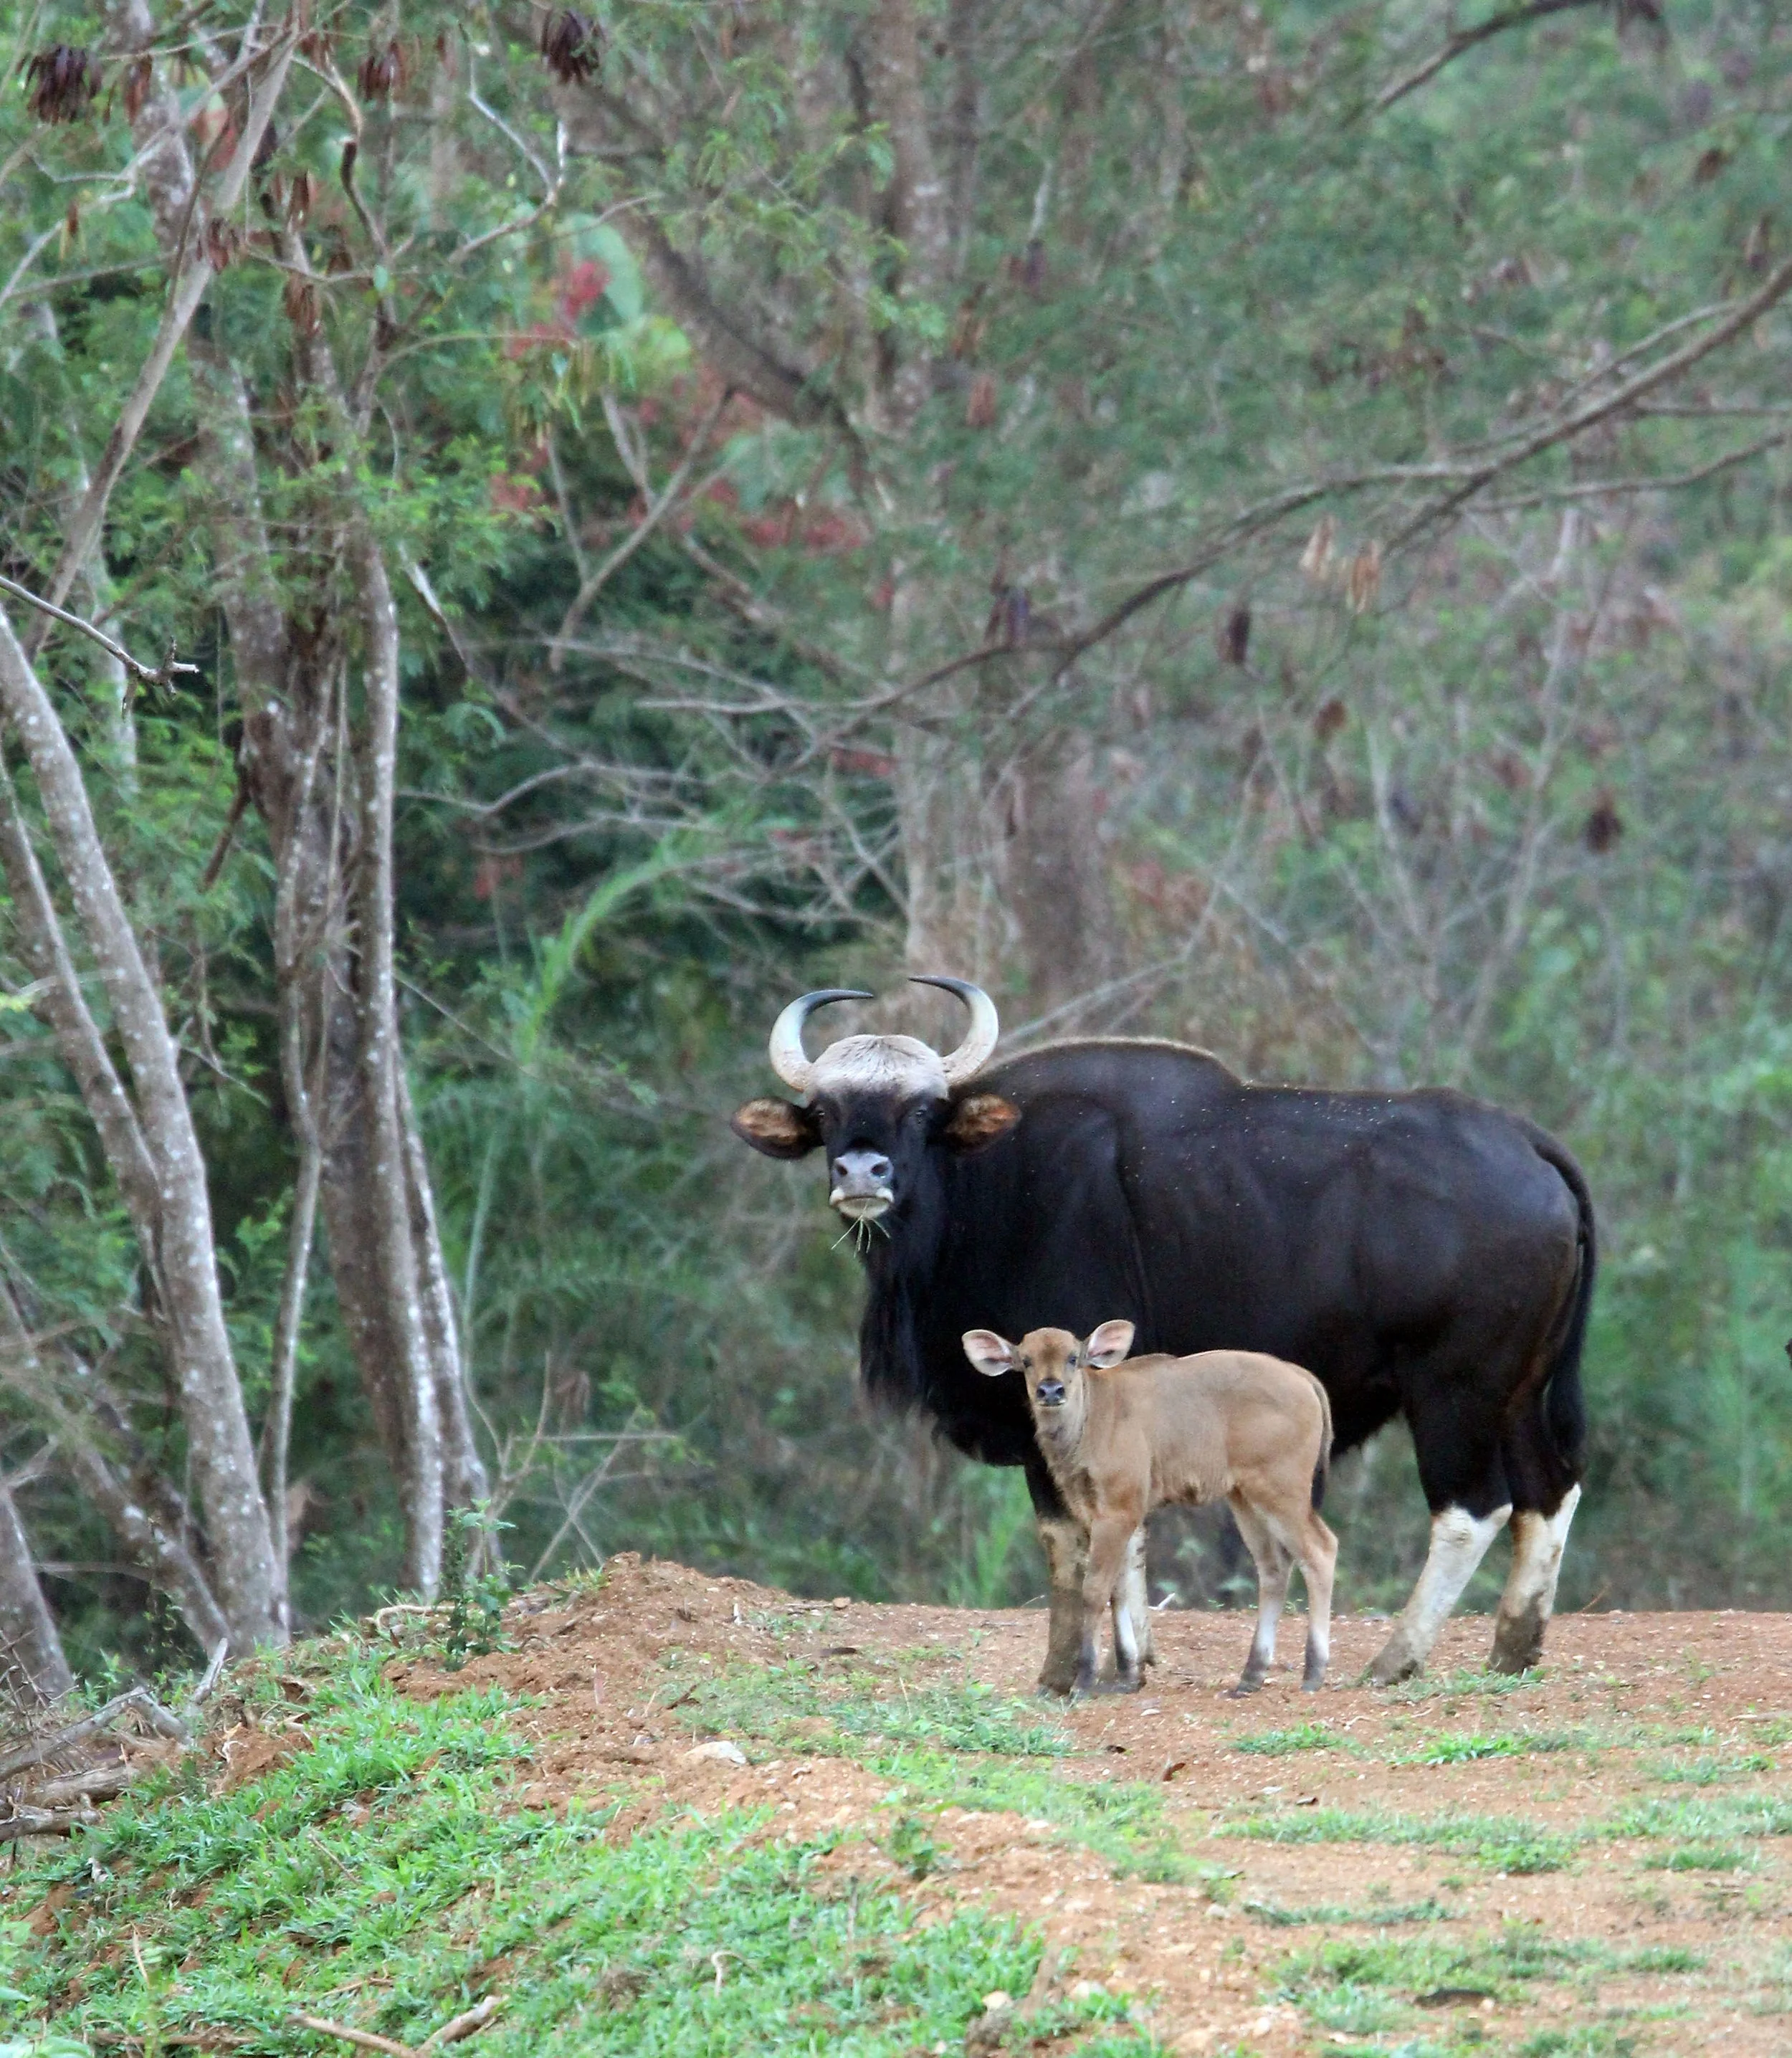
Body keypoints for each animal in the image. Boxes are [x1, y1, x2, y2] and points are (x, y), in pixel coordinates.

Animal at [731, 977, 1594, 1694]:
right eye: (826, 1114)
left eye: (917, 1112)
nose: (862, 1173)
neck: (987, 1184)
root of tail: (1529, 1144)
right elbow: (1127, 1541)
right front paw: (1132, 1658)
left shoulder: (1054, 1400)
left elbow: (1072, 1543)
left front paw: (1065, 1671)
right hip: (1520, 1388)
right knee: (1548, 1490)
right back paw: (1512, 1649)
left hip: (1454, 1389)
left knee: (1471, 1508)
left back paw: (1395, 1659)